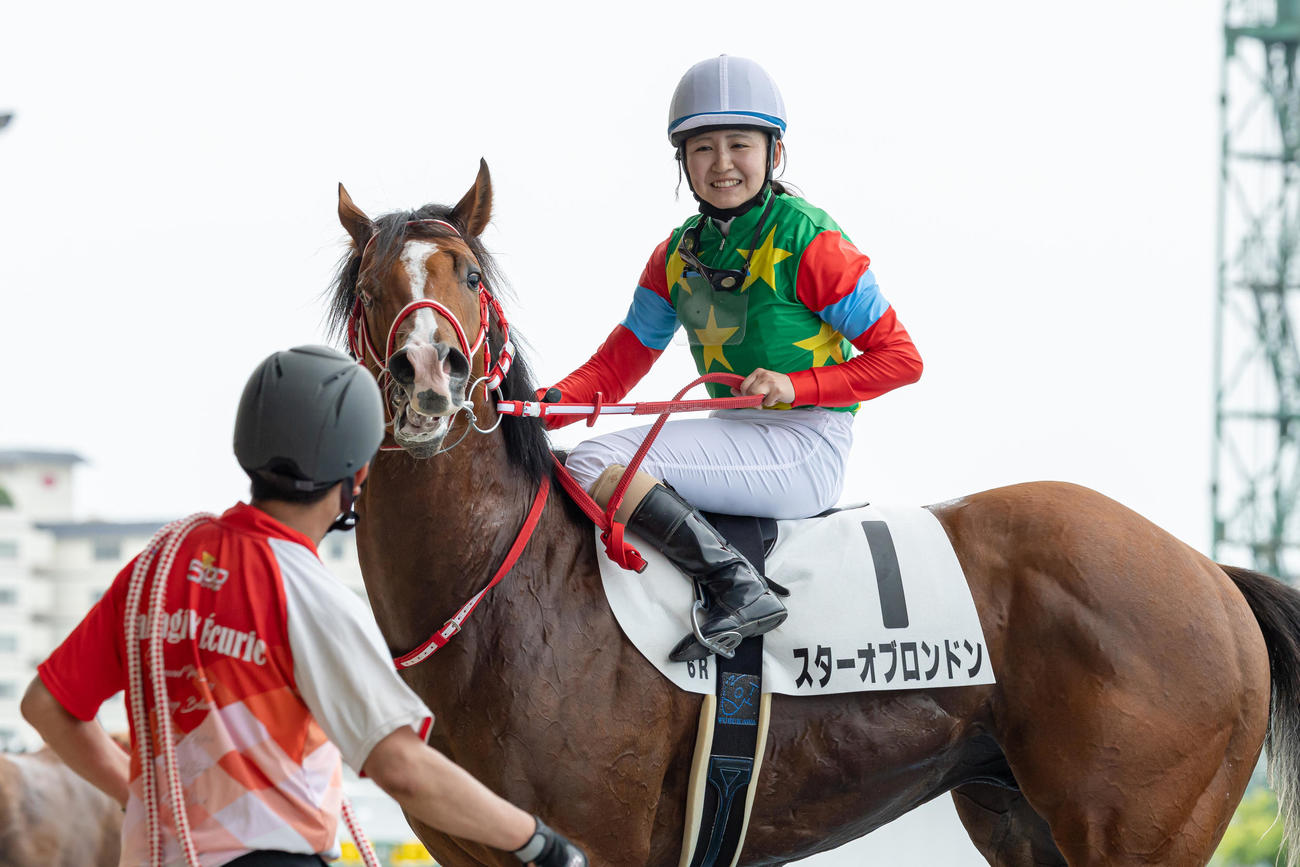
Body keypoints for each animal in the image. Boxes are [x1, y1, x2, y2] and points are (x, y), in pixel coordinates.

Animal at [326, 160, 1300, 866]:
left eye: (469, 273)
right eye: (371, 285)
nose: (430, 377)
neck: (510, 593)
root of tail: (1211, 574)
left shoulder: (596, 842)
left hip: (1139, 828)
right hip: (1020, 816)